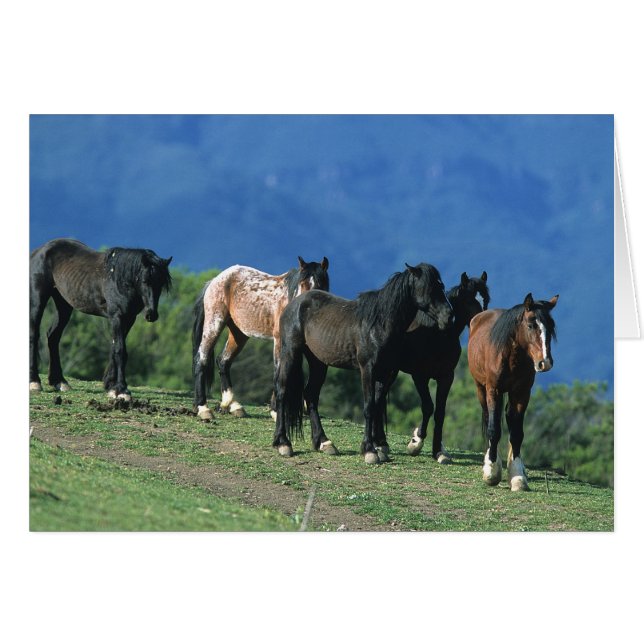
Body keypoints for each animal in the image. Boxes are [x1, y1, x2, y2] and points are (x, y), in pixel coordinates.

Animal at [29, 238, 172, 400]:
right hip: (38, 298)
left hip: (63, 304)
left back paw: (59, 382)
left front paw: (110, 386)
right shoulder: (117, 317)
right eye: (144, 280)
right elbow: (120, 350)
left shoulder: (129, 319)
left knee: (53, 337)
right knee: (34, 335)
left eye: (161, 283)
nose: (151, 314)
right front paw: (122, 390)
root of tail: (40, 250)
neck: (118, 278)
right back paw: (34, 382)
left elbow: (114, 347)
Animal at [192, 257, 330, 420]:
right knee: (202, 359)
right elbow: (279, 373)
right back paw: (203, 408)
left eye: (320, 285)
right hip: (214, 323)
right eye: (302, 284)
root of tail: (215, 280)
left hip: (239, 333)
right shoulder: (279, 342)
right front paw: (276, 411)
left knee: (223, 361)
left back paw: (232, 405)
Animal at [272, 263, 454, 464]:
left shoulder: (386, 372)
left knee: (310, 395)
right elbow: (368, 407)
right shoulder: (368, 370)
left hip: (318, 363)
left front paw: (378, 448)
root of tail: (294, 304)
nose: (448, 316)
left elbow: (376, 406)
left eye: (441, 286)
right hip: (290, 353)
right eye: (429, 288)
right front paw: (369, 450)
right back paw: (283, 443)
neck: (379, 324)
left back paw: (324, 442)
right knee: (282, 391)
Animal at [402, 271, 490, 462]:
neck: (438, 335)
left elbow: (440, 412)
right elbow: (428, 407)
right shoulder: (419, 376)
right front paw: (416, 442)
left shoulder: (446, 377)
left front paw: (438, 451)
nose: (483, 323)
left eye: (486, 300)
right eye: (468, 300)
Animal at [467, 292, 558, 490]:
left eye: (551, 327)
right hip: (481, 389)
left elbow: (516, 433)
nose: (545, 362)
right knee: (489, 417)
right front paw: (491, 471)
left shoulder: (522, 393)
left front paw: (517, 476)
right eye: (531, 325)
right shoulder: (493, 390)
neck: (511, 357)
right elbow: (494, 428)